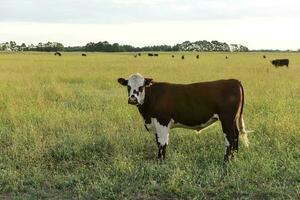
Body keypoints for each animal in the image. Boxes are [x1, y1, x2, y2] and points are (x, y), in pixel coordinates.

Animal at [118, 72, 250, 162]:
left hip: (227, 118)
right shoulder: (156, 124)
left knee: (230, 137)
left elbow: (162, 143)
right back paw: (234, 156)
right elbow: (158, 142)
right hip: (233, 119)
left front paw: (161, 162)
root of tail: (233, 80)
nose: (133, 99)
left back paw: (226, 160)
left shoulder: (162, 122)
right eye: (128, 86)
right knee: (236, 134)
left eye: (141, 86)